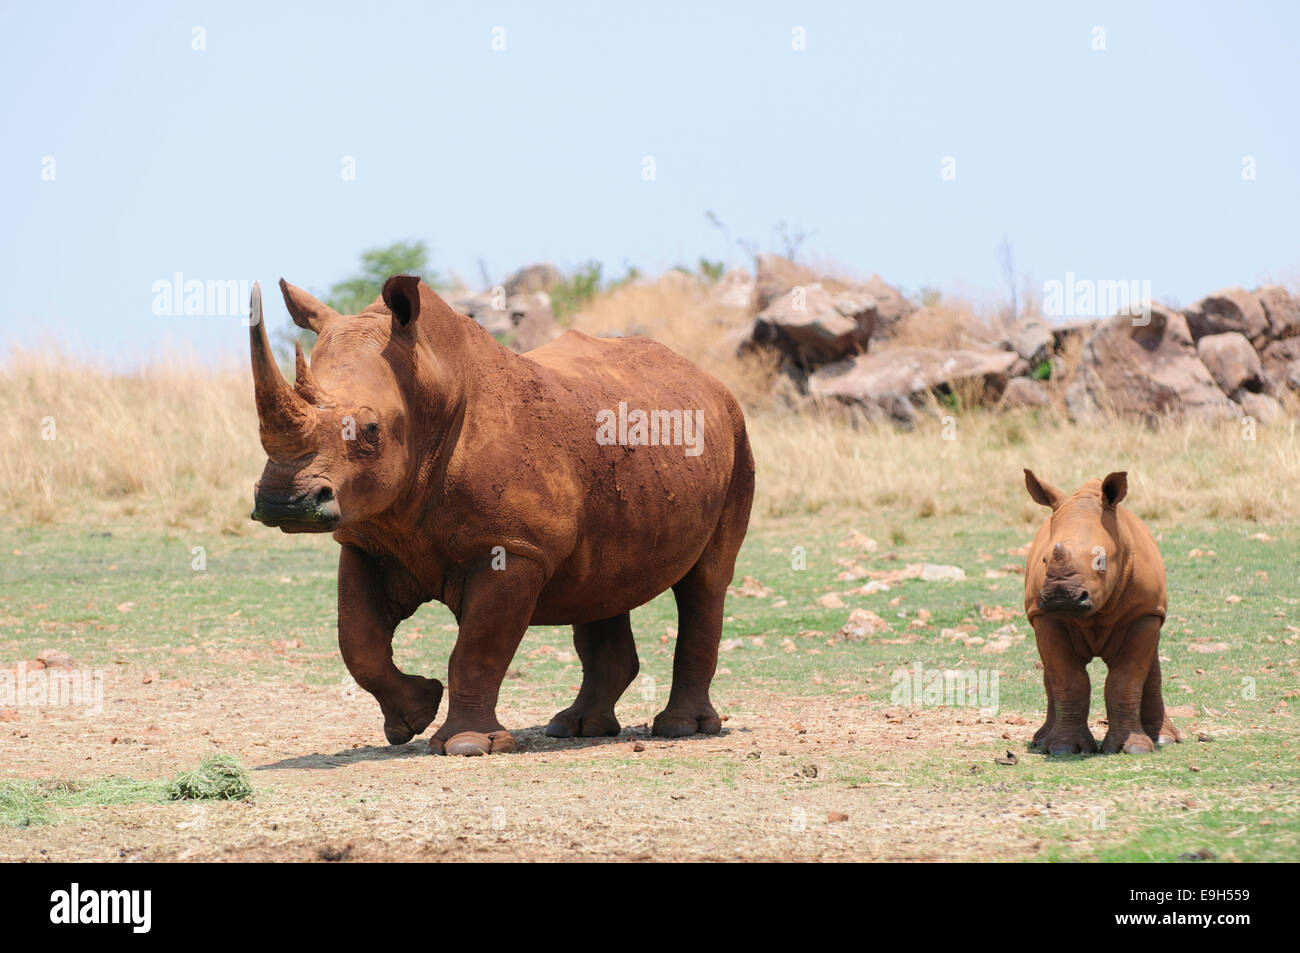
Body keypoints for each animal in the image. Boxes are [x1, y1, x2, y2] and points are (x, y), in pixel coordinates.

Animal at [245, 276, 754, 759]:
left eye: (370, 430)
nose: (284, 503)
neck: (428, 387)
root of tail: (707, 378)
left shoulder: (515, 547)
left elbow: (478, 647)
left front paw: (466, 745)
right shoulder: (365, 539)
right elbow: (358, 641)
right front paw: (413, 716)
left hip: (737, 432)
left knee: (707, 580)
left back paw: (680, 728)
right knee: (601, 582)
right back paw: (574, 728)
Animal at [1024, 473, 1180, 754]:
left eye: (1101, 561)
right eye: (1044, 560)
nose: (1061, 596)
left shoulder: (1143, 613)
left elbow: (1126, 679)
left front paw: (1133, 748)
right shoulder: (1045, 616)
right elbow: (1068, 680)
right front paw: (1064, 748)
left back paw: (1164, 739)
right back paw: (1041, 741)